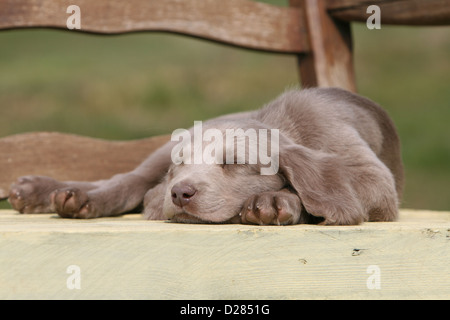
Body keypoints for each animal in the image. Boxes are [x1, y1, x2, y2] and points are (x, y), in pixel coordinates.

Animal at [7, 87, 404, 225]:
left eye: (235, 164)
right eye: (179, 166)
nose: (179, 193)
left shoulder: (376, 181)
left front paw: (275, 200)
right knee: (127, 180)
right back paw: (58, 194)